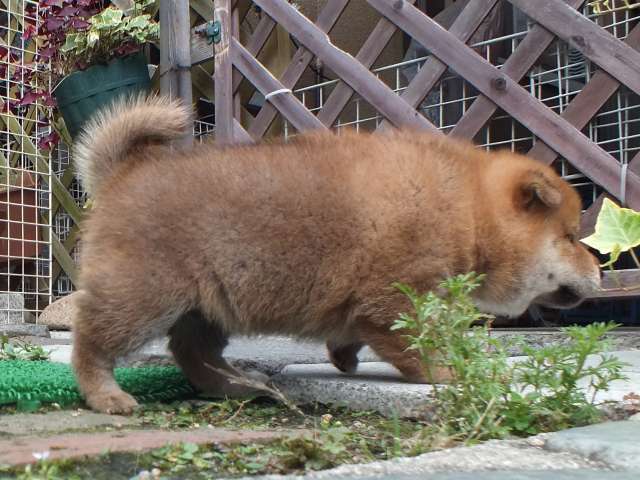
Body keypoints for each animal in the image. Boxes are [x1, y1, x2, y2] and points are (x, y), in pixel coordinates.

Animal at [72, 96, 604, 412]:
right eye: (570, 237)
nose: (601, 268)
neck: (469, 208)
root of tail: (124, 174)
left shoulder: (366, 302)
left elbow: (352, 334)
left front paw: (344, 358)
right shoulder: (398, 297)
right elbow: (416, 345)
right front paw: (445, 373)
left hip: (207, 306)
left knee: (193, 353)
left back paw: (239, 386)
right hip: (143, 297)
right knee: (92, 344)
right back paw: (107, 396)